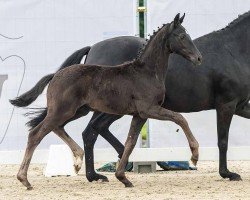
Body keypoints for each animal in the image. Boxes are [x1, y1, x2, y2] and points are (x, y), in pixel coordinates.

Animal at [11, 11, 250, 182]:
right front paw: (224, 172)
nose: (199, 58)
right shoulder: (225, 104)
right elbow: (219, 138)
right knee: (71, 131)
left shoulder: (239, 105)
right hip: (83, 109)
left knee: (81, 130)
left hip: (86, 109)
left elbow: (132, 139)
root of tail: (93, 48)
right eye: (182, 36)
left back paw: (95, 172)